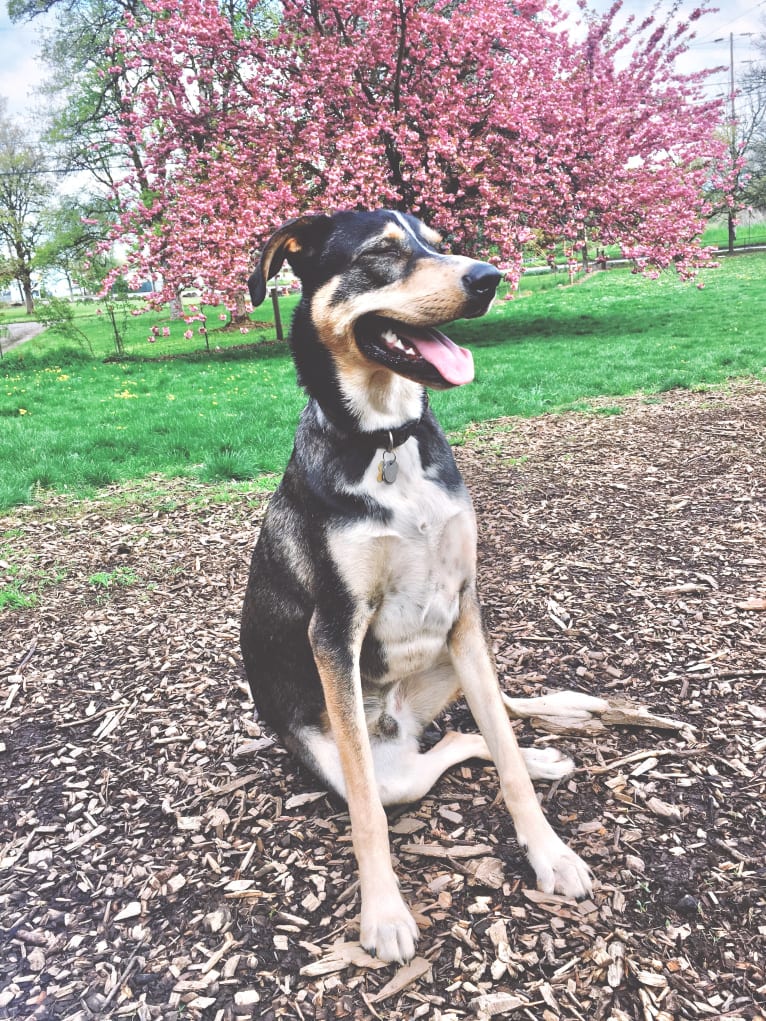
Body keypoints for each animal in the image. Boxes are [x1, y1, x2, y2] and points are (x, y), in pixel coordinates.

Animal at [240, 209, 592, 963]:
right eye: (383, 252)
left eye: (436, 239)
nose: (488, 276)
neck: (388, 444)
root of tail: (399, 726)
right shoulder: (334, 632)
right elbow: (368, 813)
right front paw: (383, 912)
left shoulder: (464, 608)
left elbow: (504, 753)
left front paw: (550, 853)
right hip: (380, 762)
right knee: (428, 760)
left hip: (456, 659)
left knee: (483, 726)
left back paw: (550, 740)